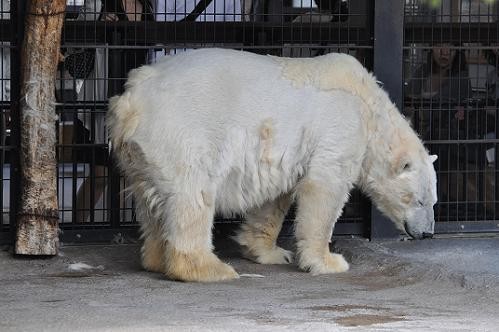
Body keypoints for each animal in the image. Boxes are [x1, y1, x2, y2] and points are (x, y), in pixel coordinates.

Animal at [108, 48, 438, 282]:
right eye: (419, 200)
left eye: (434, 201)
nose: (428, 234)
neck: (371, 108)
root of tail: (131, 101)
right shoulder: (340, 127)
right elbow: (325, 187)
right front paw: (329, 261)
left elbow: (274, 199)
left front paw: (272, 253)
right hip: (183, 132)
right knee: (192, 195)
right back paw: (210, 269)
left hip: (141, 155)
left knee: (151, 201)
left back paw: (155, 259)